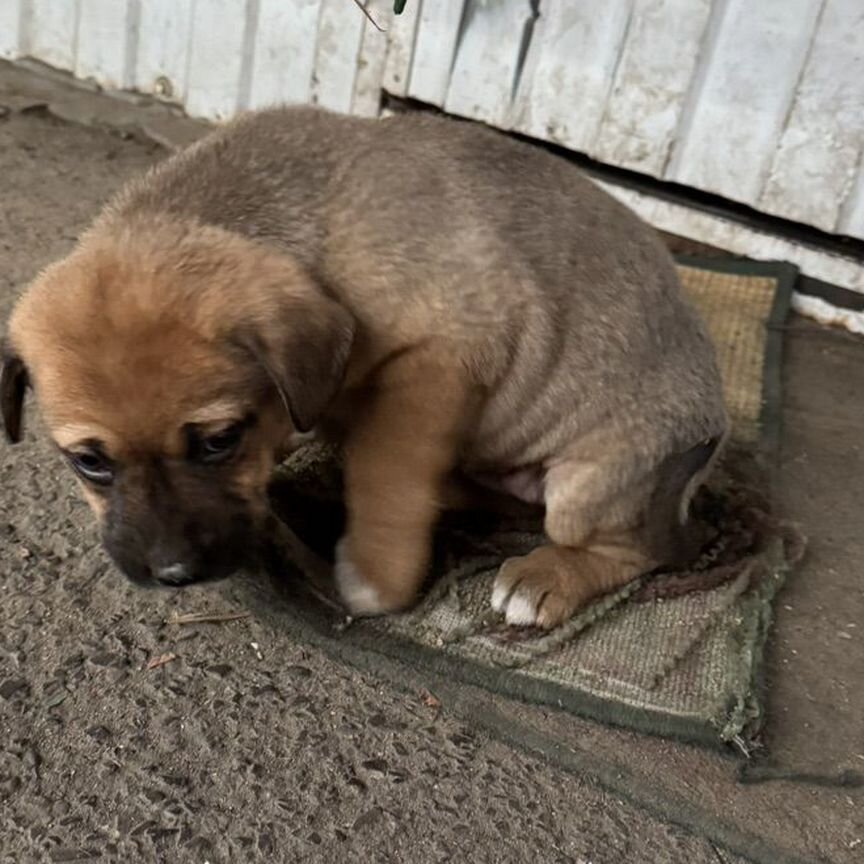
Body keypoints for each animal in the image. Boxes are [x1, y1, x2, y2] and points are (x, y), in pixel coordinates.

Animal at [1, 106, 728, 628]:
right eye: (88, 461)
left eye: (218, 441)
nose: (173, 573)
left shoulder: (439, 362)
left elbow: (389, 476)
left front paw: (376, 577)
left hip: (592, 485)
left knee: (628, 549)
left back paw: (545, 577)